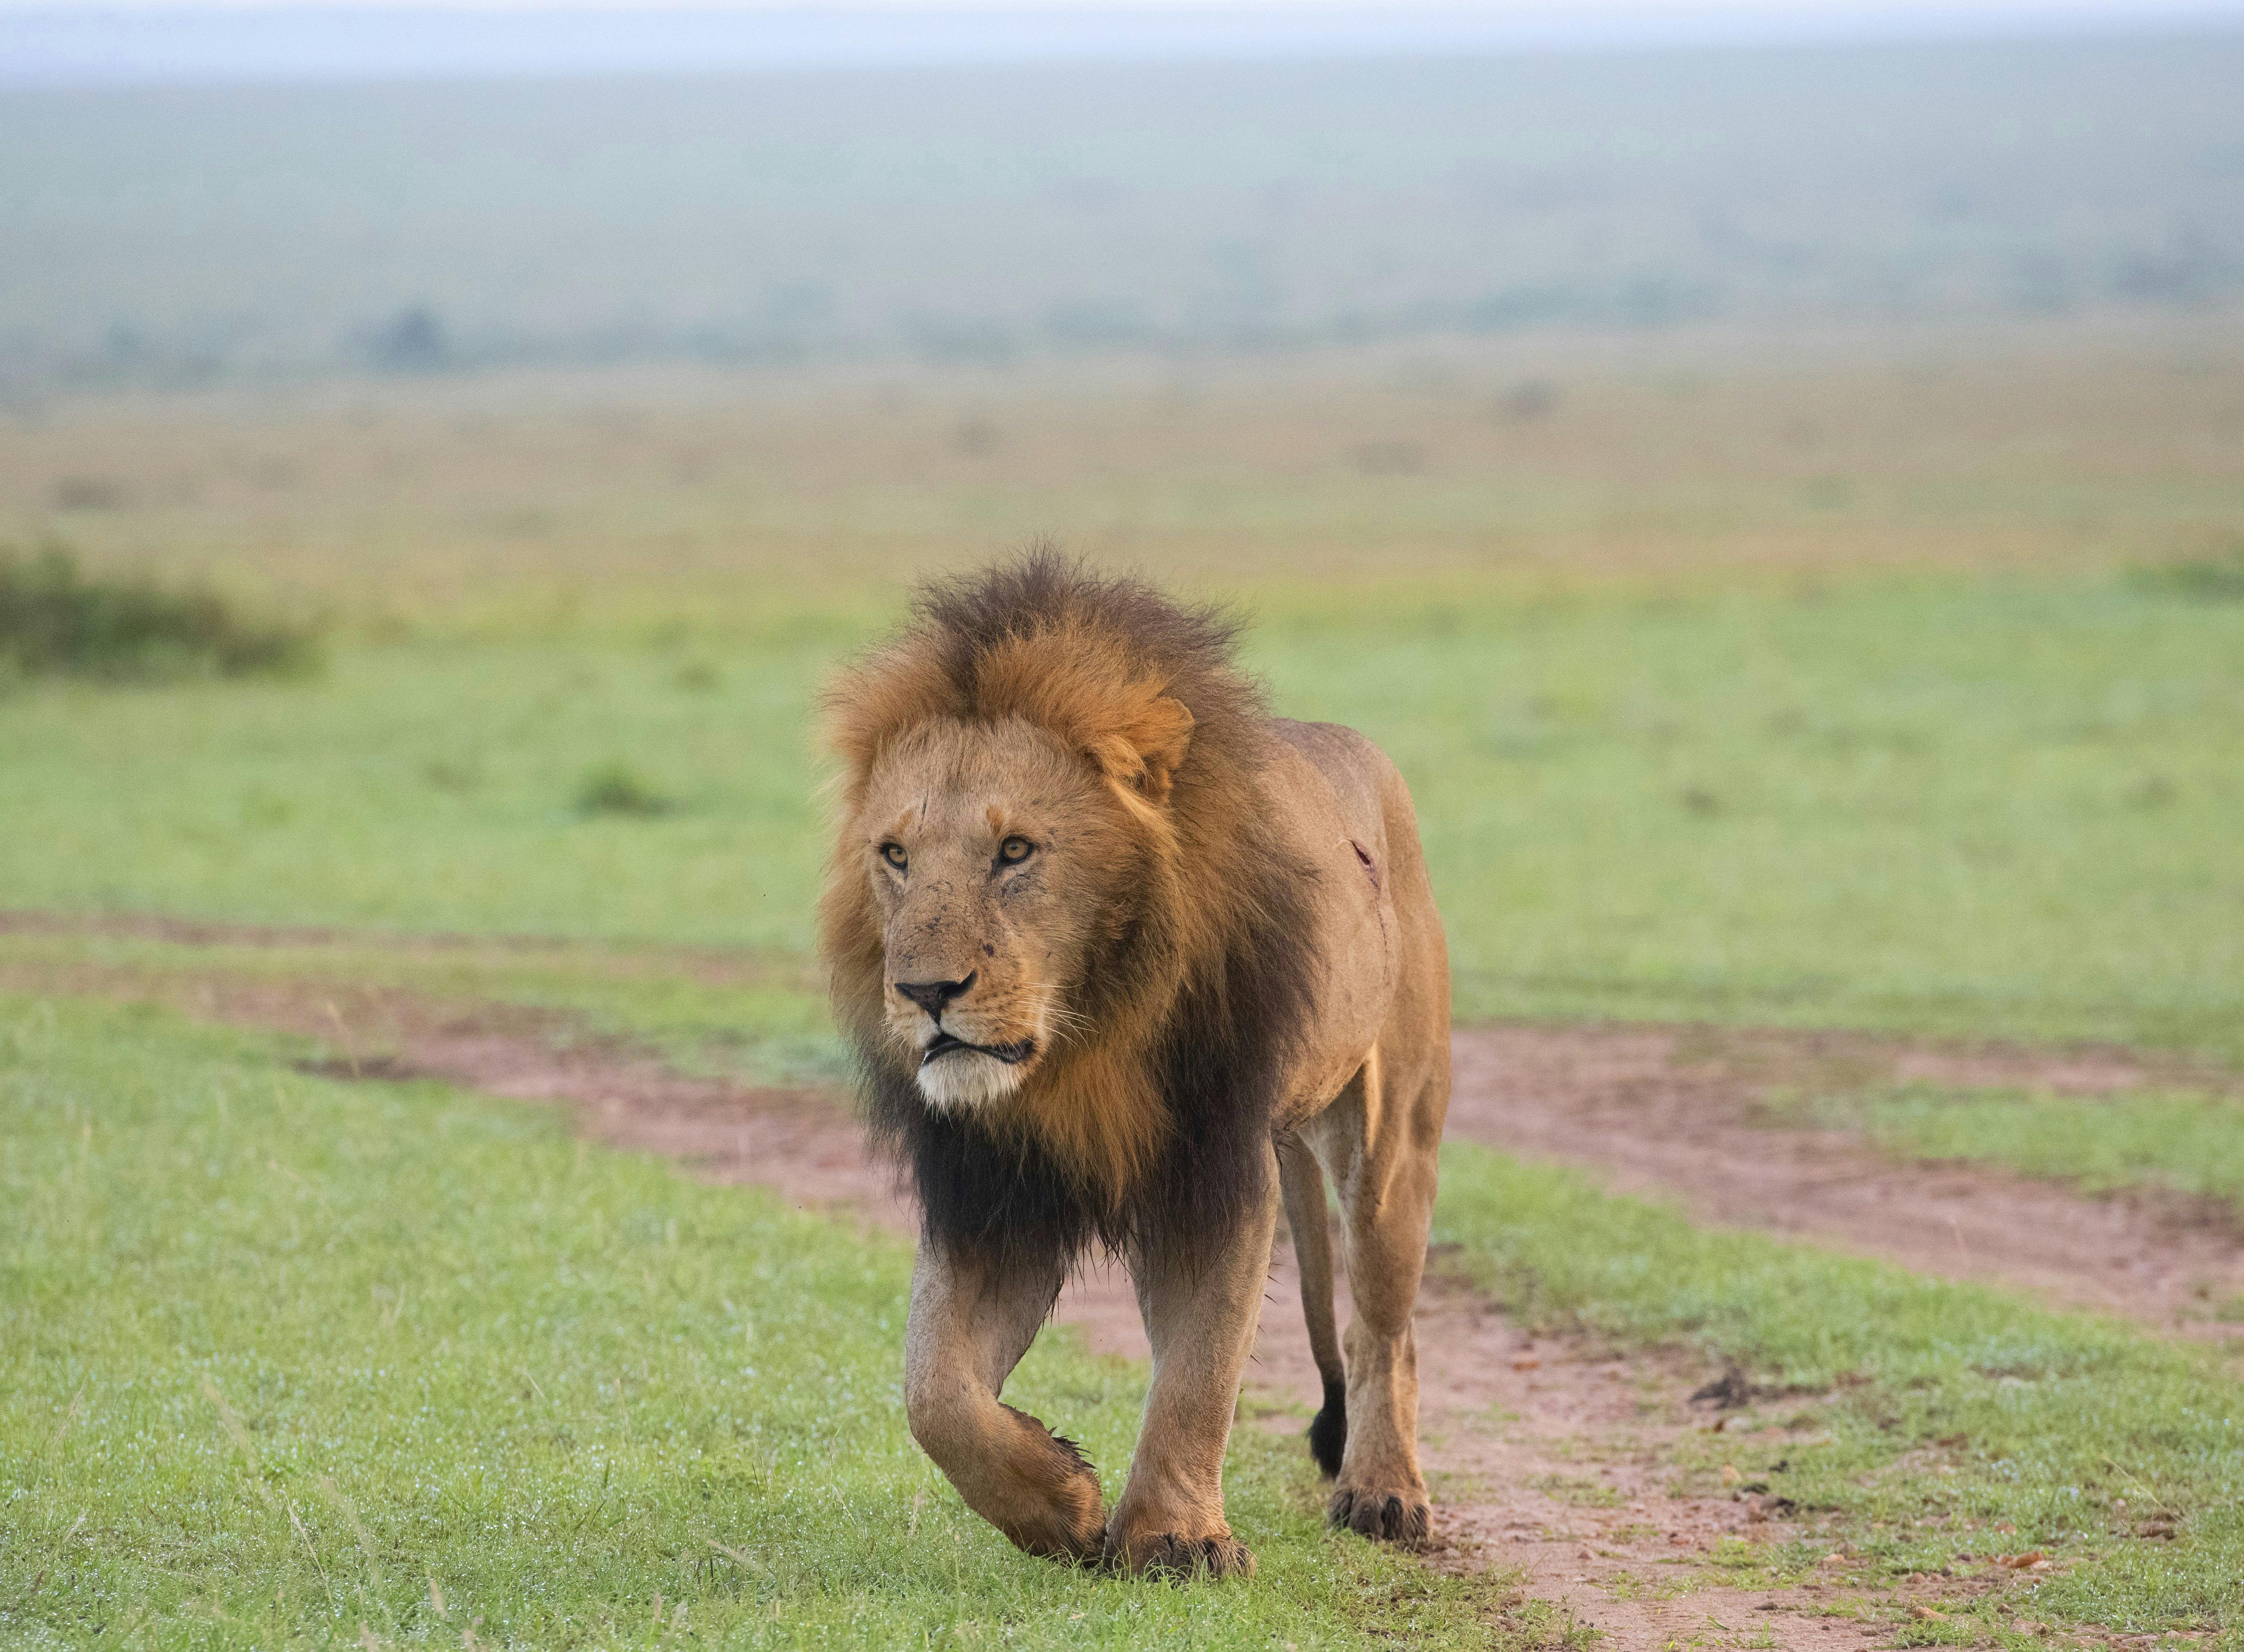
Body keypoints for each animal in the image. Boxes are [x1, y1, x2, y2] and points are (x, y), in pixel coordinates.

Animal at [817, 554, 1445, 1571]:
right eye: (896, 855)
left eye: (1016, 849)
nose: (924, 990)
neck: (1083, 1037)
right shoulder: (993, 1189)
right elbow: (934, 1391)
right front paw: (1060, 1501)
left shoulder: (1215, 1167)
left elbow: (1201, 1368)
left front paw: (1176, 1540)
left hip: (1391, 1138)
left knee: (1384, 1326)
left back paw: (1384, 1491)